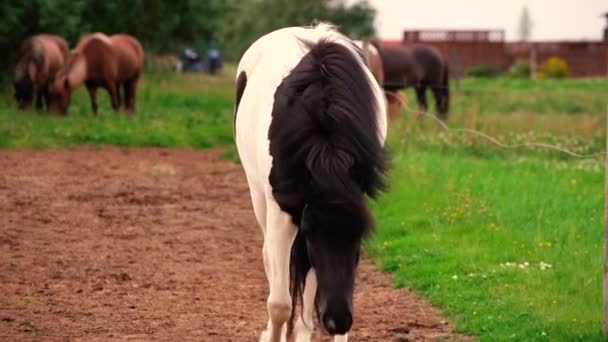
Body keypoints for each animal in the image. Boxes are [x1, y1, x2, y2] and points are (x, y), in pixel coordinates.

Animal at [235, 24, 388, 342]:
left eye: (360, 236)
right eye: (312, 234)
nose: (337, 320)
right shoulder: (283, 213)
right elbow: (280, 303)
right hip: (258, 197)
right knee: (271, 263)